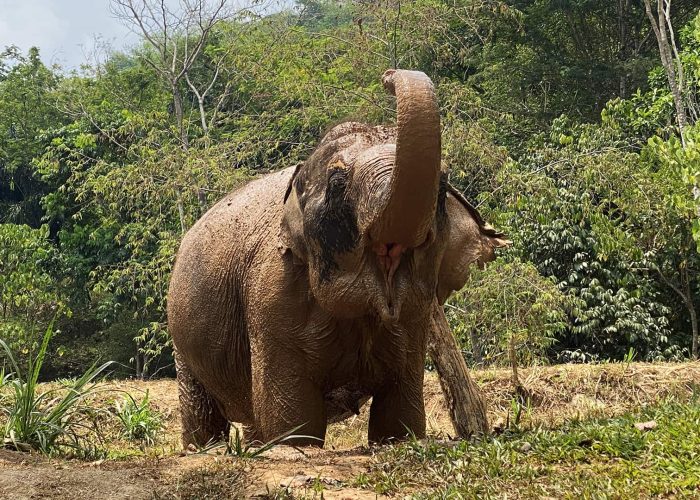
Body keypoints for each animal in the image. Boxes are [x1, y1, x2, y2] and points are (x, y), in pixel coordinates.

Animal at [167, 69, 507, 447]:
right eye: (337, 181)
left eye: (443, 184)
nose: (388, 76)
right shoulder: (271, 298)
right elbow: (292, 423)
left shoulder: (416, 318)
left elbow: (400, 414)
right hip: (181, 333)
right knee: (202, 408)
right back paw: (203, 447)